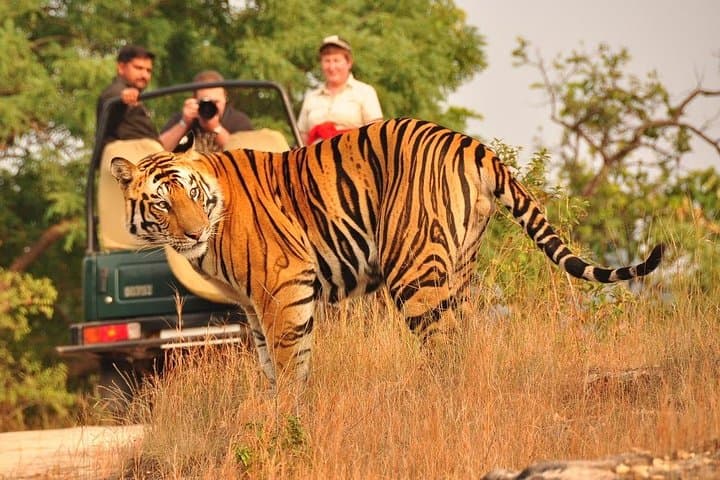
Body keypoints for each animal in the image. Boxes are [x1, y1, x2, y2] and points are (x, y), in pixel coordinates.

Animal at [110, 117, 663, 386]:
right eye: (162, 203)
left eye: (190, 193)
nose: (192, 232)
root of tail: (472, 144)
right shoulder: (253, 306)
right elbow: (271, 365)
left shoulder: (283, 288)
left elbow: (290, 365)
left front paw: (288, 422)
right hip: (459, 267)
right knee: (466, 338)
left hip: (414, 271)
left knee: (444, 346)